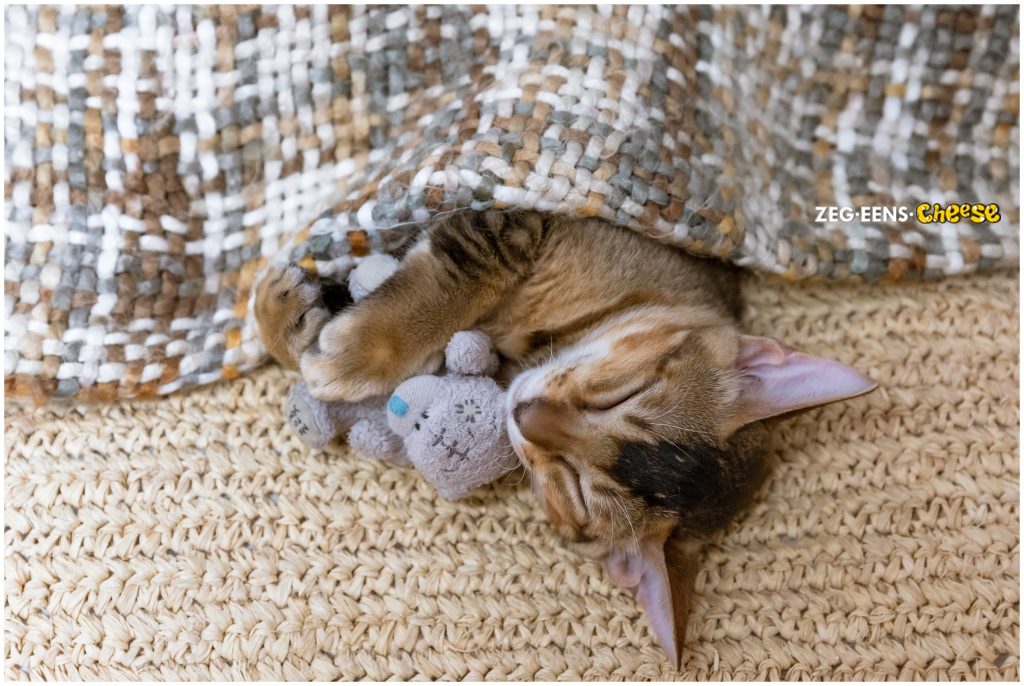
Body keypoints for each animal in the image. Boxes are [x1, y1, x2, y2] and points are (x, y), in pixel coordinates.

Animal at [253, 211, 872, 667]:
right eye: (624, 394)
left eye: (573, 487)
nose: (525, 413)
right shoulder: (527, 222)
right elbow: (459, 273)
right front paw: (291, 316)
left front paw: (328, 345)